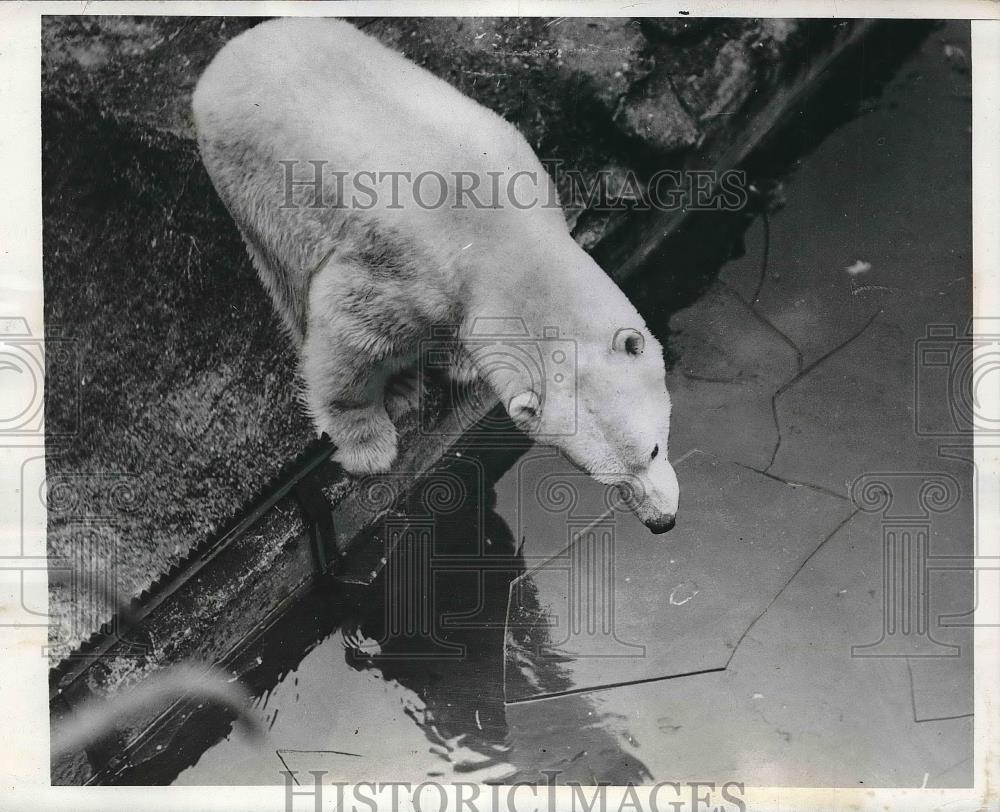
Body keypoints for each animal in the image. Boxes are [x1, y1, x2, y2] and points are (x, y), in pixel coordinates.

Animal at [193, 17, 680, 532]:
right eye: (606, 478)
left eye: (653, 450)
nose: (662, 521)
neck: (501, 235)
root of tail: (231, 53)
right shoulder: (399, 267)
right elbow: (344, 337)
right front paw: (368, 446)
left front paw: (459, 362)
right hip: (253, 186)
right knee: (288, 281)